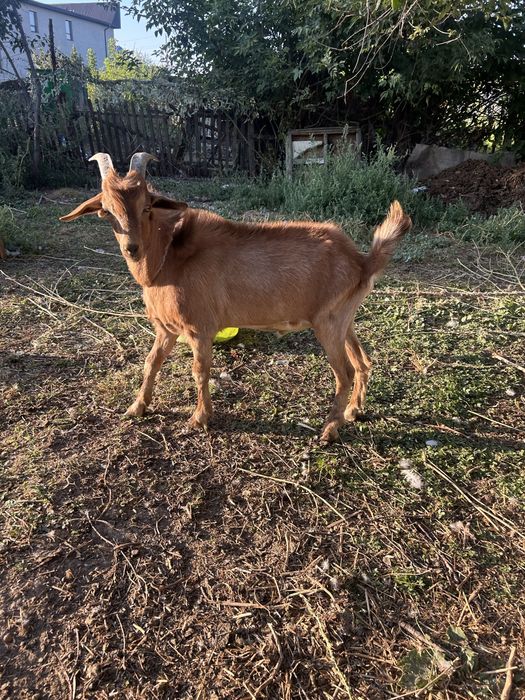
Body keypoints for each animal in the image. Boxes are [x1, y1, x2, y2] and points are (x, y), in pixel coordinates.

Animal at [60, 153, 412, 442]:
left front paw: (199, 418)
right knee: (363, 361)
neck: (169, 258)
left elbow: (200, 371)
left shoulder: (200, 329)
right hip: (343, 320)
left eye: (146, 206)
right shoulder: (166, 329)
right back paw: (353, 411)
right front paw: (137, 407)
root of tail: (361, 261)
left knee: (345, 373)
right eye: (106, 212)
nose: (131, 248)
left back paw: (329, 429)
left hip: (328, 324)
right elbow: (151, 363)